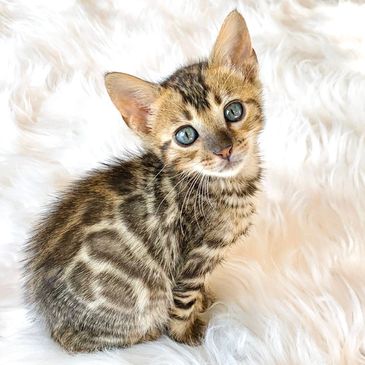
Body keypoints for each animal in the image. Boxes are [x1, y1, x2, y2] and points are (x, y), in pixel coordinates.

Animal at [23, 11, 262, 352]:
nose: (224, 149)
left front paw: (205, 300)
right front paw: (189, 337)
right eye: (186, 135)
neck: (225, 185)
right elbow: (183, 306)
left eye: (234, 111)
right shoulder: (191, 261)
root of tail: (50, 320)